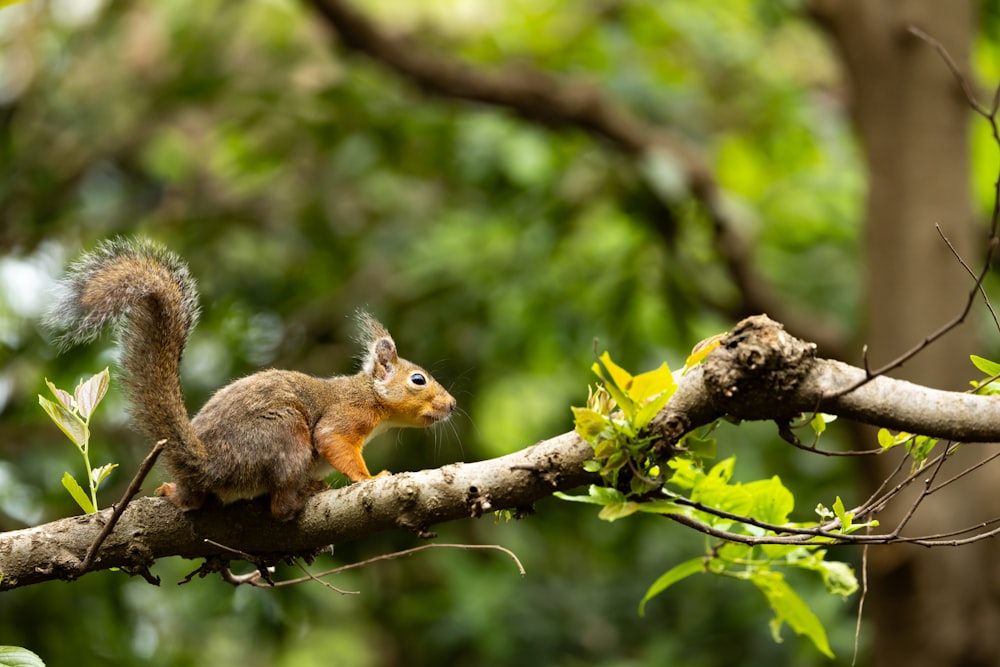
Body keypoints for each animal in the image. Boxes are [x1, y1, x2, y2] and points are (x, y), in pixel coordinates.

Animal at [45, 237, 456, 520]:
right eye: (418, 380)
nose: (452, 404)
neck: (370, 396)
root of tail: (206, 465)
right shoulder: (344, 416)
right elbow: (332, 440)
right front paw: (370, 479)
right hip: (283, 436)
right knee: (278, 506)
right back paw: (302, 494)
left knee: (193, 501)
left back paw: (174, 492)